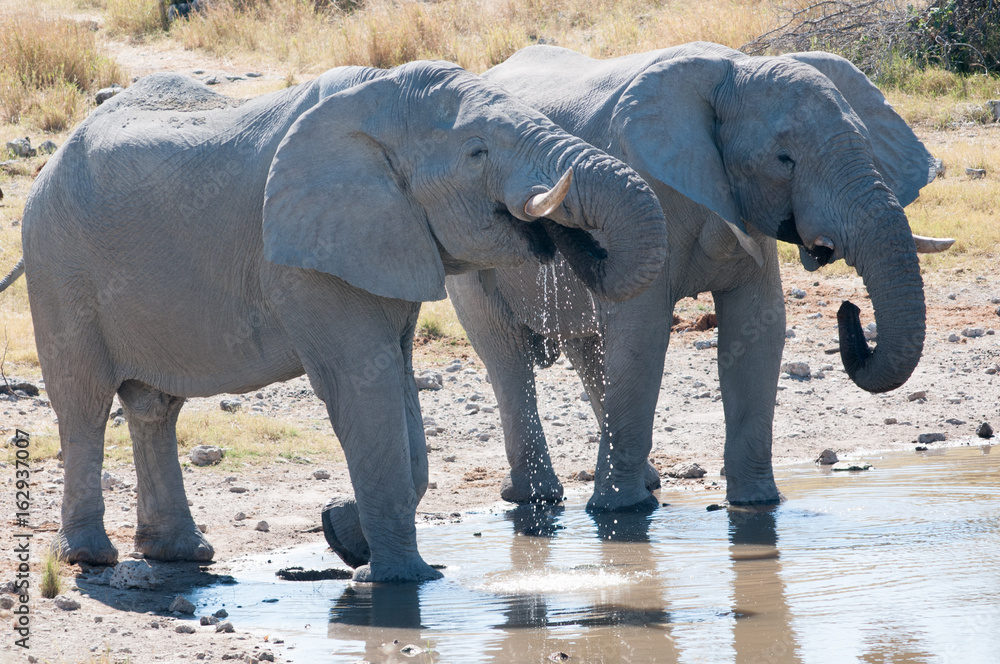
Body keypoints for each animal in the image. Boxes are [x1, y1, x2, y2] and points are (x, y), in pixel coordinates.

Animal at [5, 60, 669, 582]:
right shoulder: (308, 261)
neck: (377, 100)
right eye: (477, 151)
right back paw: (90, 559)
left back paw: (181, 555)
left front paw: (343, 533)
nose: (561, 235)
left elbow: (397, 388)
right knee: (84, 405)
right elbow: (361, 386)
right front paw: (402, 580)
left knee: (154, 408)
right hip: (58, 267)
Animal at [447, 42, 951, 512]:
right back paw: (537, 498)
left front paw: (759, 504)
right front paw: (622, 514)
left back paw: (642, 481)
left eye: (868, 145)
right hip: (467, 252)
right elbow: (643, 333)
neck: (734, 70)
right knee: (505, 352)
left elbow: (759, 327)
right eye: (784, 159)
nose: (849, 310)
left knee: (587, 348)